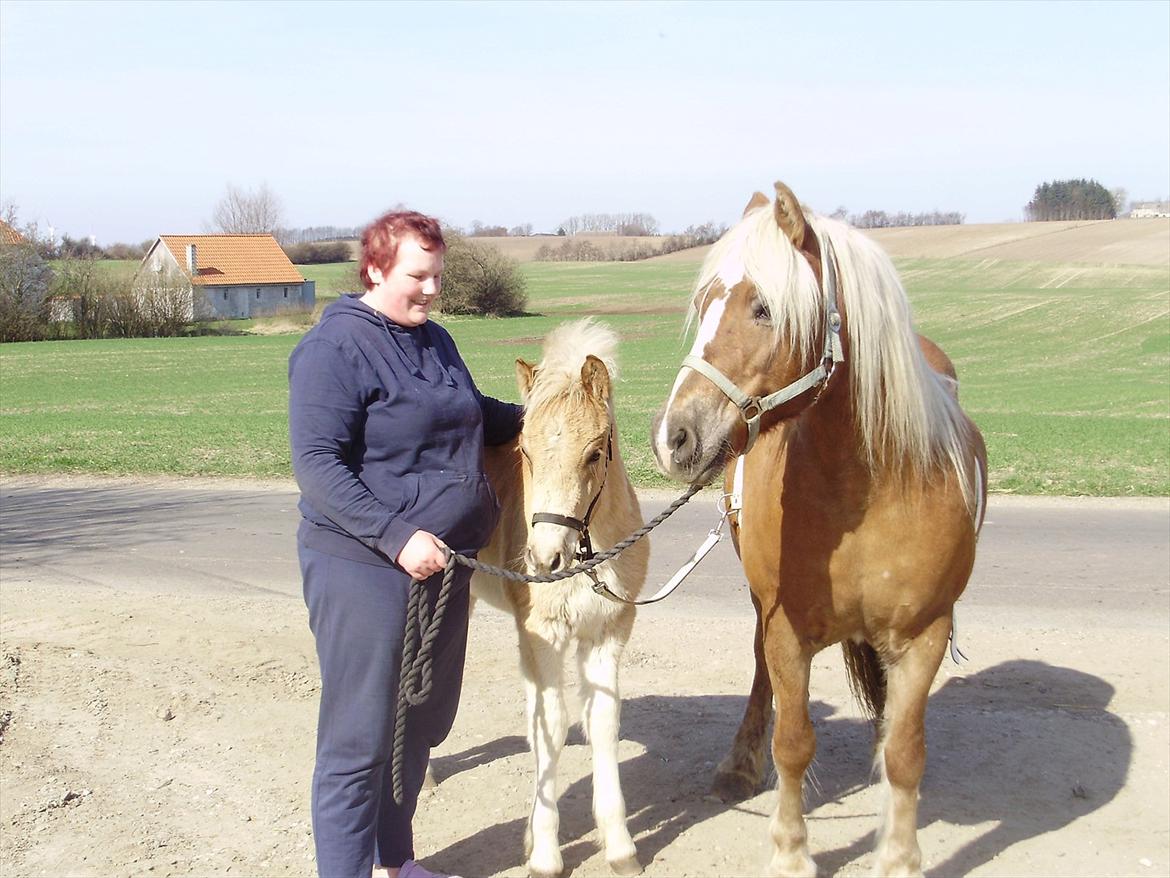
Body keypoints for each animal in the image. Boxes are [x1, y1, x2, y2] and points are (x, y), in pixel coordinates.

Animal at [470, 320, 650, 875]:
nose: (544, 558)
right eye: (525, 452)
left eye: (593, 453)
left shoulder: (608, 631)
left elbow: (601, 721)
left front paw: (619, 846)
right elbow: (551, 725)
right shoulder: (542, 634)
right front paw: (546, 853)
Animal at [650, 183, 987, 878]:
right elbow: (794, 741)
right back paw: (738, 764)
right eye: (703, 304)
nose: (674, 438)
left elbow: (906, 751)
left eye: (762, 308)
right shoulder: (786, 628)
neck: (862, 488)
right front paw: (790, 850)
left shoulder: (925, 635)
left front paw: (900, 855)